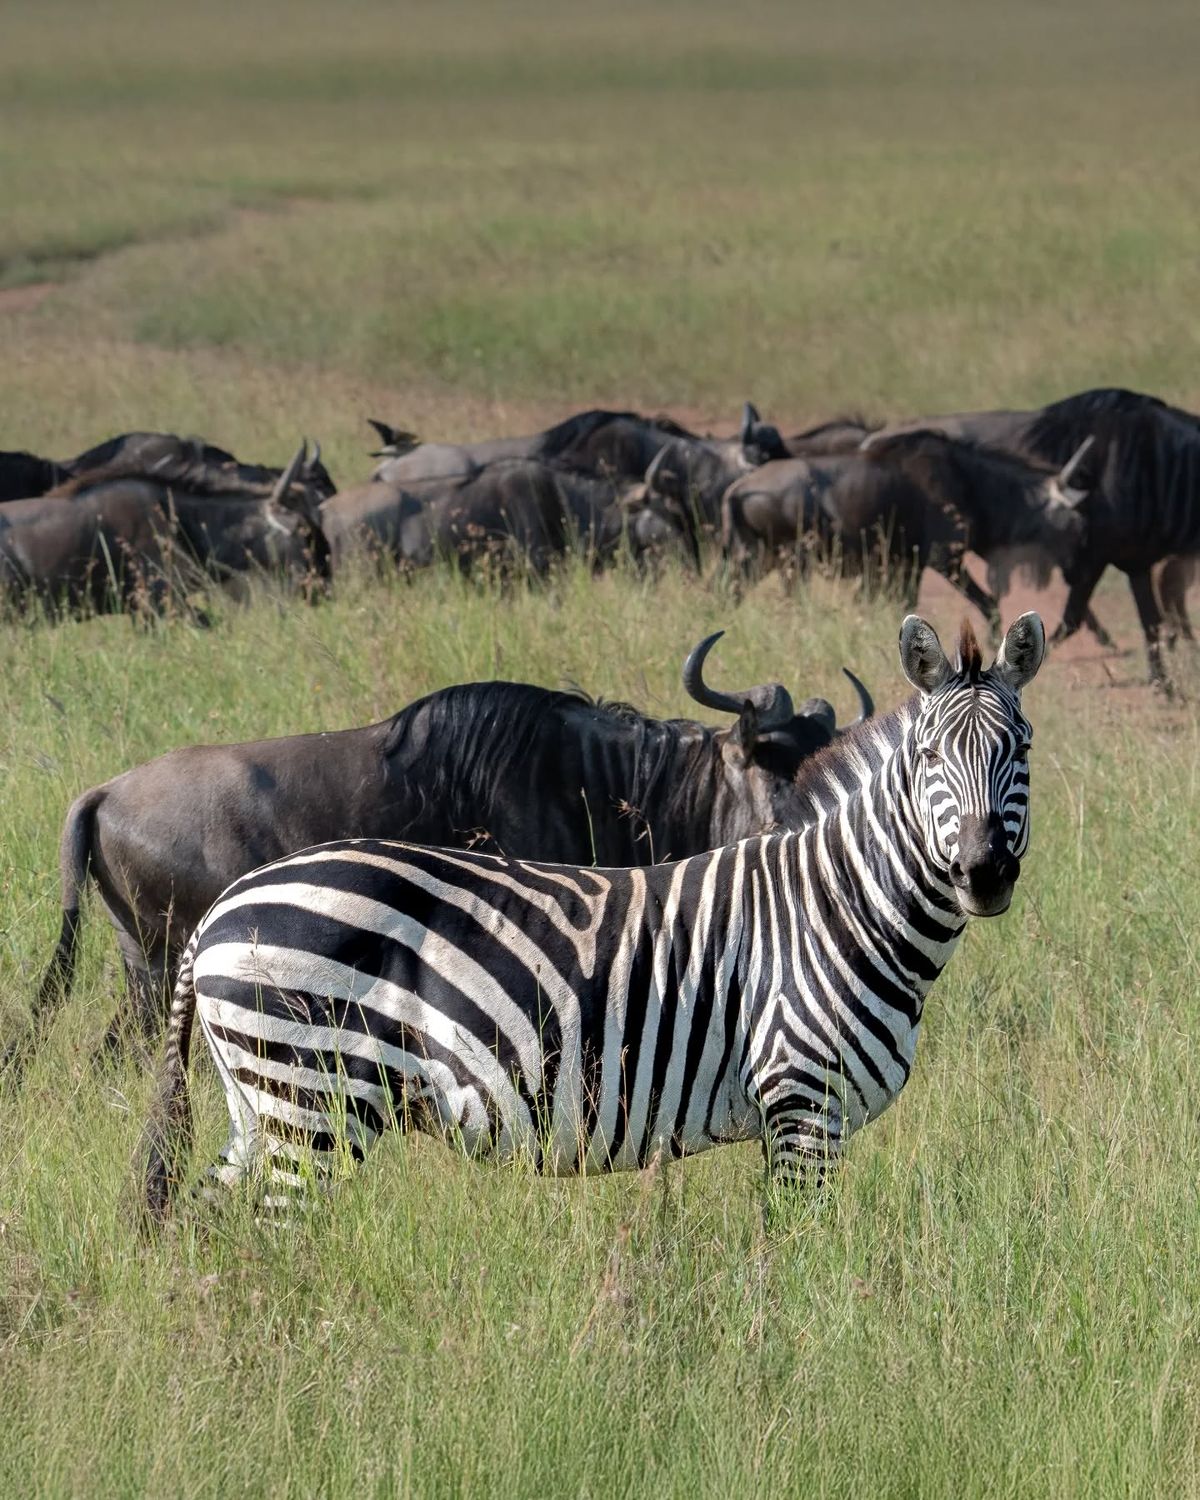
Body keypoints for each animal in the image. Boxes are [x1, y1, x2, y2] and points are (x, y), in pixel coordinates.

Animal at [142, 611, 1045, 1223]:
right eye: (929, 756)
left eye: (1023, 749)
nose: (984, 872)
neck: (841, 908)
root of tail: (222, 910)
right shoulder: (801, 1107)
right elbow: (796, 1266)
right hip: (309, 1101)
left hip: (258, 1104)